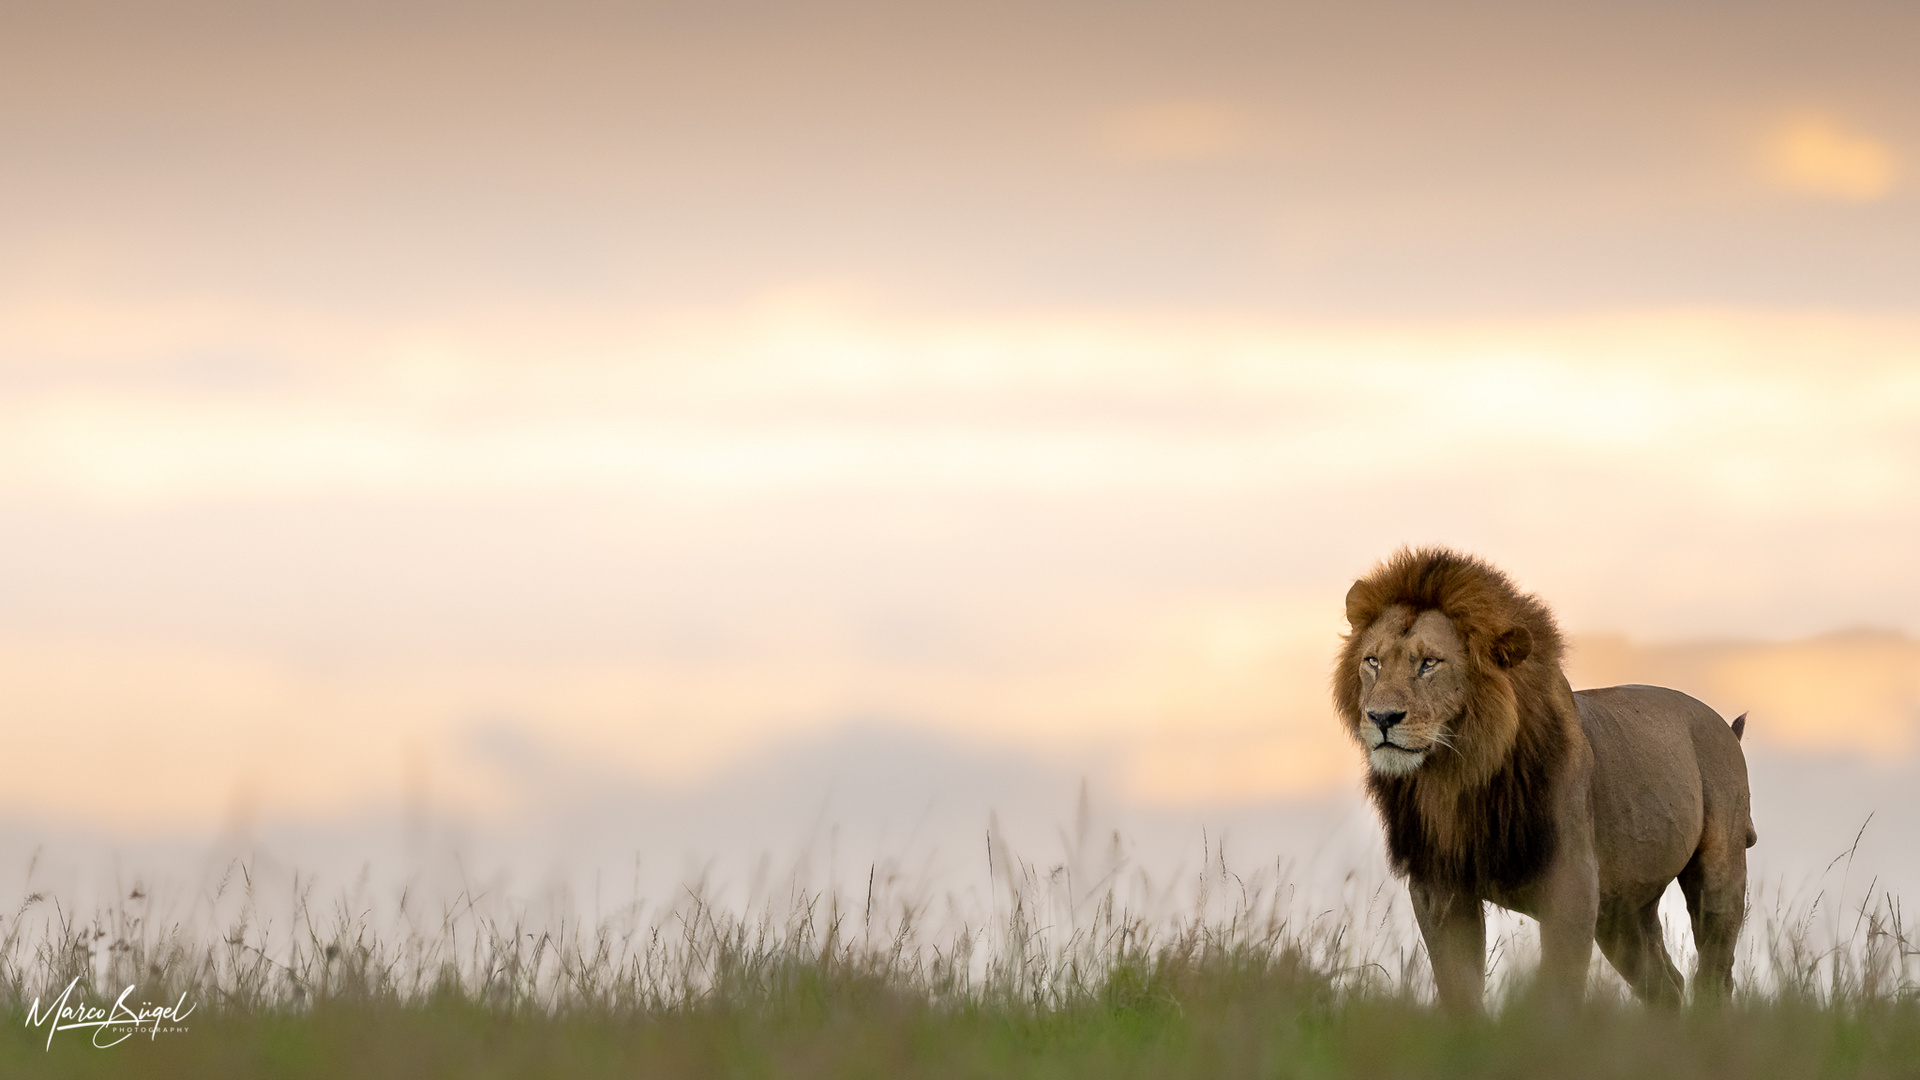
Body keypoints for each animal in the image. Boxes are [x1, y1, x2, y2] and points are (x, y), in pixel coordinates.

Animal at [1336, 545, 1758, 1006]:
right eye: (1373, 662)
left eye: (1429, 663)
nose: (1381, 718)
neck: (1459, 777)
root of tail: (1722, 725)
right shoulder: (1439, 887)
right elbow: (1460, 987)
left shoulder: (1572, 884)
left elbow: (1557, 989)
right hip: (1623, 909)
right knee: (1666, 983)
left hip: (1718, 875)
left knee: (1714, 974)